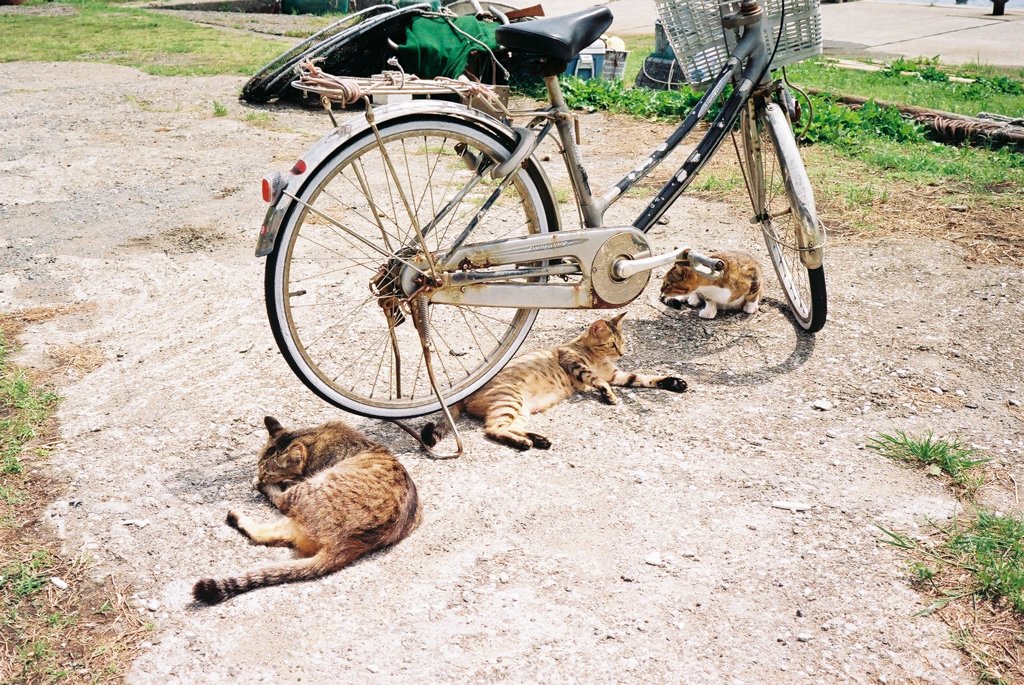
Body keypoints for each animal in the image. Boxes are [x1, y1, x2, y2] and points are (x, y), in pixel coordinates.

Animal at [192, 417, 419, 602]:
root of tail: (346, 544)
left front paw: (263, 482)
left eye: (268, 472)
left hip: (307, 490)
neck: (314, 437)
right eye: (258, 464)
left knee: (278, 505)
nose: (261, 476)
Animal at [419, 313, 692, 450]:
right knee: (492, 429)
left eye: (623, 342)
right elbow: (597, 380)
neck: (593, 354)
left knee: (505, 426)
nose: (623, 353)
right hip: (510, 400)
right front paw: (608, 395)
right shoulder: (574, 363)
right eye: (612, 344)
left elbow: (644, 378)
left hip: (520, 409)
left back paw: (537, 439)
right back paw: (525, 443)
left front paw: (673, 382)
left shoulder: (618, 374)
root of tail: (462, 395)